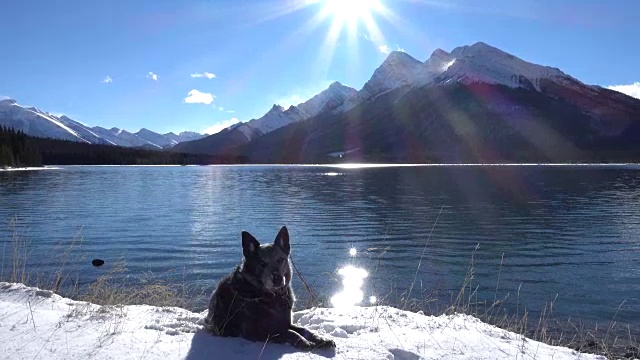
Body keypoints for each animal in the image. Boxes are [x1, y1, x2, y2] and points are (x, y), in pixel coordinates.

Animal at [205, 226, 338, 350]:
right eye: (262, 263)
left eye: (281, 260)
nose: (277, 279)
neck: (272, 296)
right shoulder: (255, 331)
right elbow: (290, 333)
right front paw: (305, 342)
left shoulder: (286, 323)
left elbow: (305, 330)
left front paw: (321, 339)